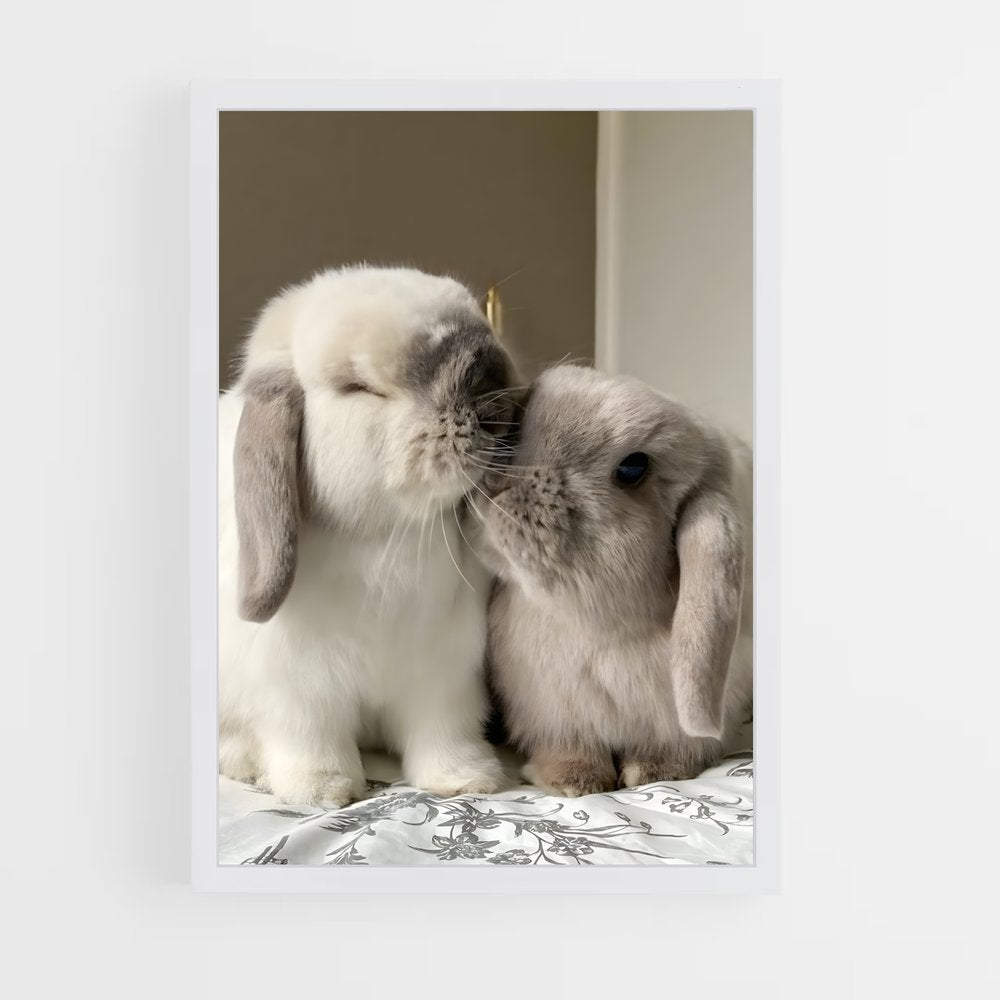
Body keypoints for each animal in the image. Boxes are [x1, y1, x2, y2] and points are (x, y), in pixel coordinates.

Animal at [218, 265, 520, 807]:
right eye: (358, 387)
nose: (491, 393)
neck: (384, 537)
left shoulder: (443, 679)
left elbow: (445, 734)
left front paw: (467, 780)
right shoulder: (299, 691)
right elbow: (310, 739)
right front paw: (322, 791)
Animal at [477, 364, 753, 797]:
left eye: (632, 468)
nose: (499, 478)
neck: (603, 633)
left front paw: (655, 772)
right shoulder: (556, 713)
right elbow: (570, 747)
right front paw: (575, 781)